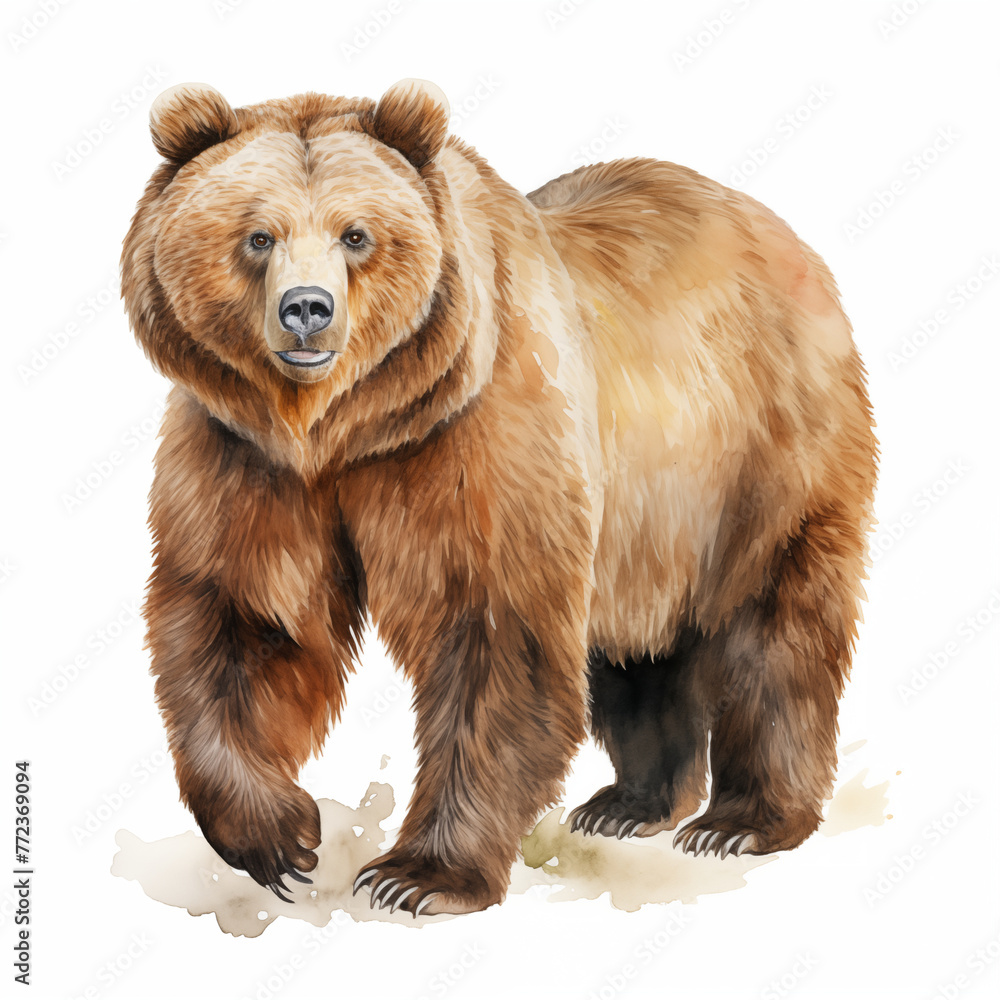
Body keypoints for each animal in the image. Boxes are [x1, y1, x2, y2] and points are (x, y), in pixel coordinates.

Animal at [121, 78, 877, 918]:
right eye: (258, 235)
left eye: (356, 235)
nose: (307, 309)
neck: (342, 428)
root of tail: (785, 238)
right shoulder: (246, 455)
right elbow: (249, 615)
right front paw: (281, 838)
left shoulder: (478, 427)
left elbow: (493, 627)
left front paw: (417, 875)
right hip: (649, 513)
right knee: (636, 649)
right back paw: (630, 804)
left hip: (761, 454)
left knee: (774, 624)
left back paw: (741, 822)